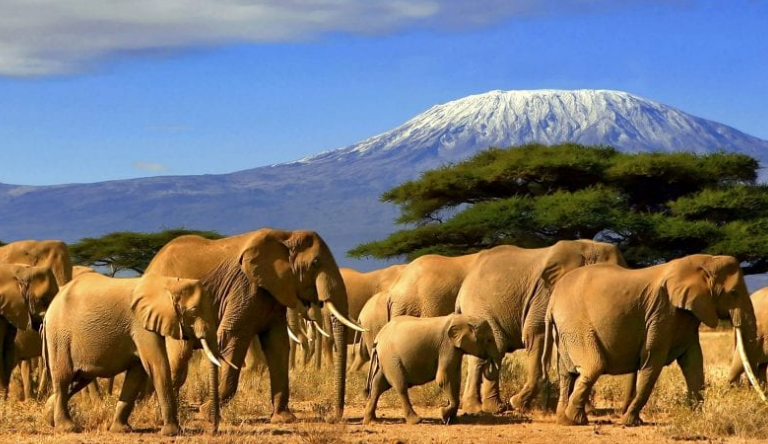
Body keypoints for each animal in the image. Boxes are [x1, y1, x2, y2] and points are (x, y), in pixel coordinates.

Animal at [42, 272, 224, 436]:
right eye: (193, 312)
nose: (214, 430)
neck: (169, 283)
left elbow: (137, 373)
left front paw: (121, 430)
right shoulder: (141, 325)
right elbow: (157, 365)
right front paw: (173, 432)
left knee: (77, 380)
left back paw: (49, 418)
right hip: (59, 337)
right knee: (64, 379)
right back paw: (67, 428)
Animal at [146, 229, 364, 424]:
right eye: (316, 263)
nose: (335, 417)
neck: (286, 236)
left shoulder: (274, 291)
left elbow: (278, 344)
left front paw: (283, 418)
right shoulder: (245, 288)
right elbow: (233, 337)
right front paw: (206, 413)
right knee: (180, 355)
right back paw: (161, 414)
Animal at [364, 314, 500, 424]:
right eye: (488, 340)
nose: (489, 360)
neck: (464, 318)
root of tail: (378, 338)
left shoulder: (455, 349)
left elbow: (456, 379)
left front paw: (452, 420)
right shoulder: (447, 346)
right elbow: (444, 378)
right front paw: (443, 415)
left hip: (385, 360)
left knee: (378, 385)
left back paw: (371, 421)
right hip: (391, 359)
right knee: (400, 386)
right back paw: (416, 421)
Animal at [456, 239, 624, 412]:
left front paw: (587, 410)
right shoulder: (545, 294)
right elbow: (536, 334)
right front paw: (517, 404)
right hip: (478, 308)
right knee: (492, 350)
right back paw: (487, 408)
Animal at [544, 256, 764, 426]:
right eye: (734, 293)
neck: (704, 261)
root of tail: (552, 301)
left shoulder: (685, 315)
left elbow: (693, 361)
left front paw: (696, 418)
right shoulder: (663, 312)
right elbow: (653, 360)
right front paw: (630, 422)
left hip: (565, 329)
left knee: (567, 372)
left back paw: (564, 419)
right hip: (575, 323)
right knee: (593, 366)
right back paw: (574, 420)